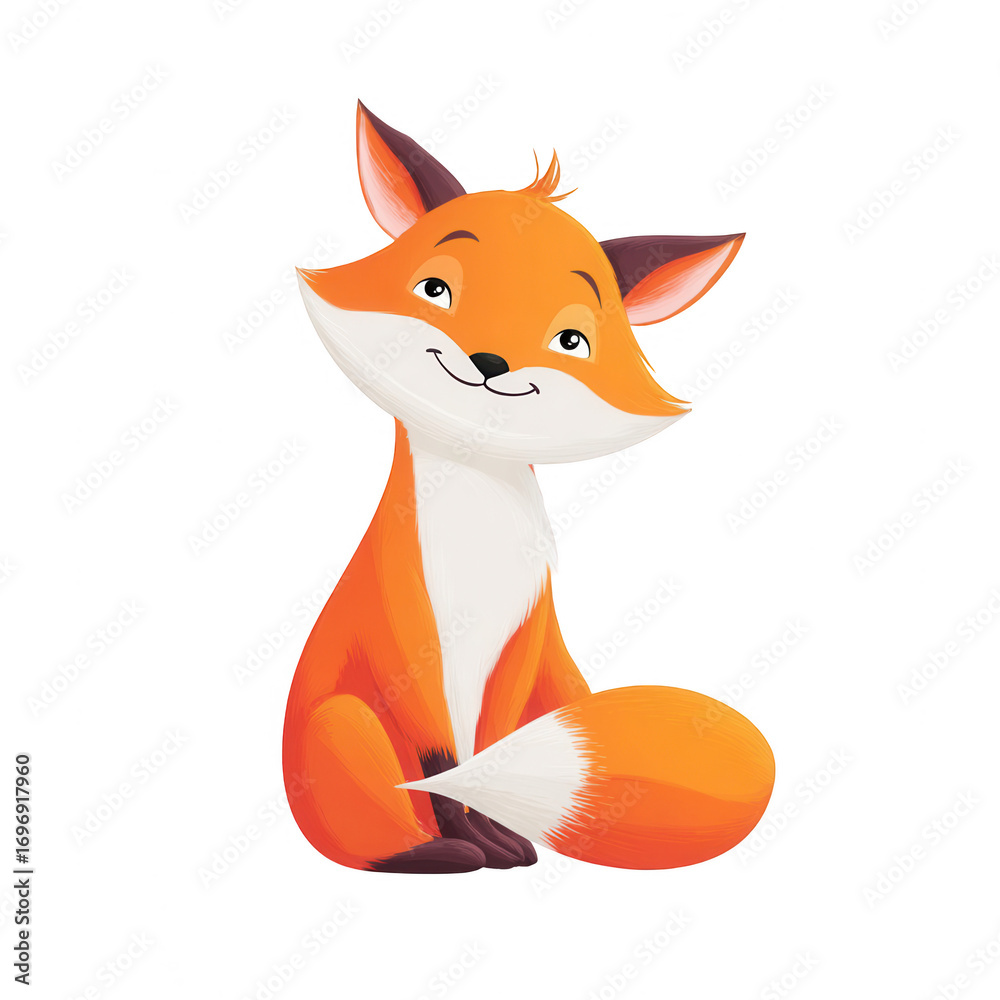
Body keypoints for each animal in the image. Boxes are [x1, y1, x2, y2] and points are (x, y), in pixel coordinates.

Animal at [282, 101, 775, 874]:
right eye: (436, 290)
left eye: (571, 340)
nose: (489, 362)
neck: (475, 526)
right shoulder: (405, 628)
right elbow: (440, 761)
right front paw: (477, 836)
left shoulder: (525, 630)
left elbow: (483, 748)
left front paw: (502, 836)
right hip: (344, 720)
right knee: (383, 836)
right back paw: (442, 850)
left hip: (563, 687)